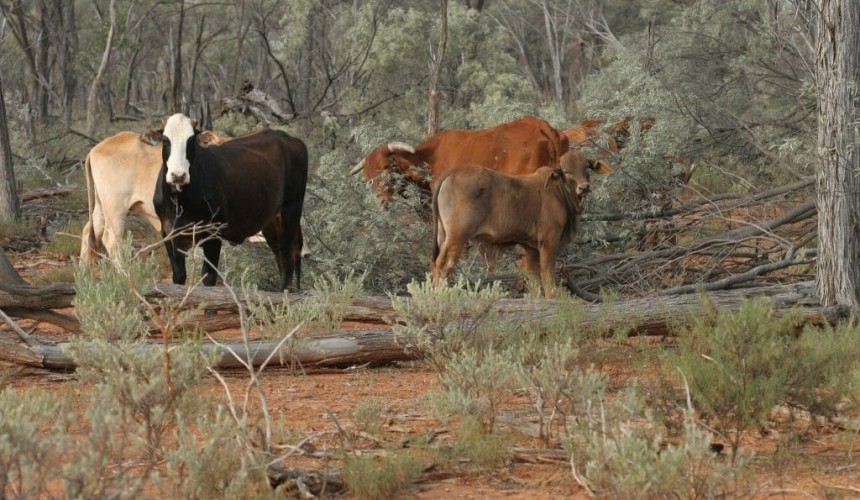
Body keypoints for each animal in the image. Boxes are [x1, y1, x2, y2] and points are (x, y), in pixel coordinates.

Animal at [153, 113, 308, 291]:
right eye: (166, 140)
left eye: (191, 140)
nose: (178, 175)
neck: (180, 201)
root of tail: (290, 139)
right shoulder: (168, 232)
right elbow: (178, 276)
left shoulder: (214, 232)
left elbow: (208, 277)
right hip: (272, 221)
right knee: (280, 255)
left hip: (291, 210)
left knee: (288, 254)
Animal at [431, 150, 612, 298]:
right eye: (567, 171)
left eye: (586, 168)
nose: (584, 187)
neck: (558, 193)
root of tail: (453, 172)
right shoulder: (549, 242)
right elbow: (547, 276)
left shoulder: (531, 248)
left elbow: (533, 280)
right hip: (457, 237)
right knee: (444, 265)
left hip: (443, 236)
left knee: (434, 264)